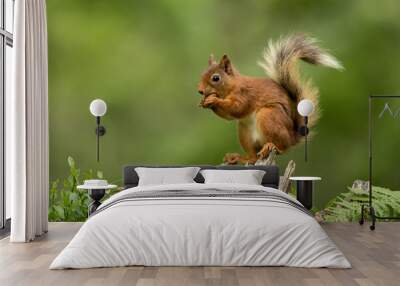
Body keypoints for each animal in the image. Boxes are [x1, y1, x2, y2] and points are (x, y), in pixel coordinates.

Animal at [198, 33, 342, 164]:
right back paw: (239, 157)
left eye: (216, 78)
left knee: (282, 147)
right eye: (202, 74)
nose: (200, 91)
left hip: (269, 115)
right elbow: (229, 116)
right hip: (244, 131)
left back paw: (271, 146)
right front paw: (205, 103)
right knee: (253, 157)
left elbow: (237, 108)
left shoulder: (244, 94)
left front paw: (213, 100)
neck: (231, 86)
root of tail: (292, 137)